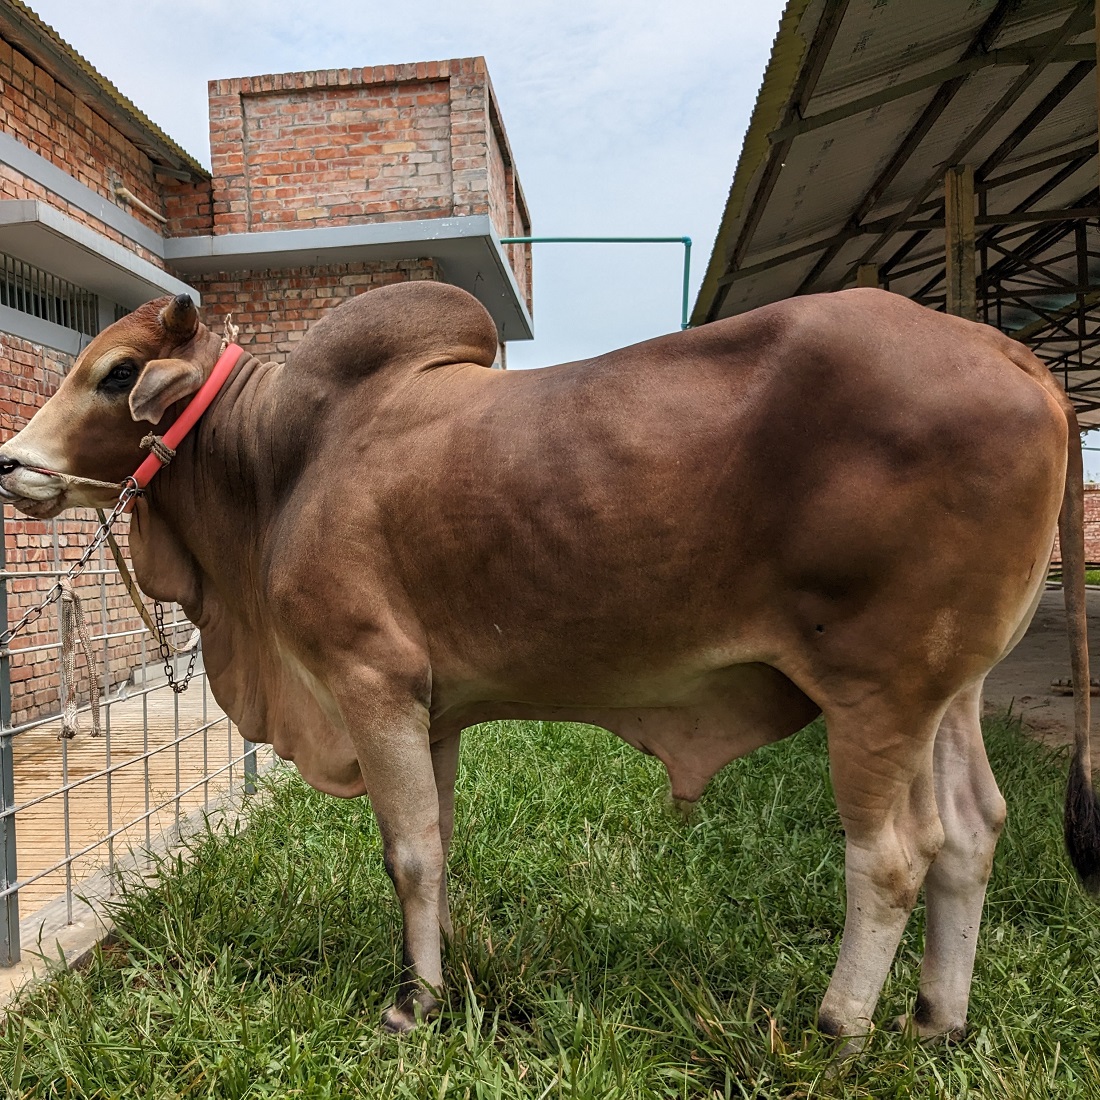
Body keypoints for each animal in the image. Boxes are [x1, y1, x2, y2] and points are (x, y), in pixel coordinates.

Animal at [2, 283, 1100, 1038]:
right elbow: (437, 843)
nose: (14, 463)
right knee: (971, 832)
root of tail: (1014, 355)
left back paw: (838, 1028)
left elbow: (407, 850)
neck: (279, 460)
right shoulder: (432, 708)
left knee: (892, 854)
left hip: (877, 692)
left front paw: (413, 1004)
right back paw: (937, 1018)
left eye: (115, 373)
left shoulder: (371, 680)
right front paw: (446, 970)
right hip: (948, 693)